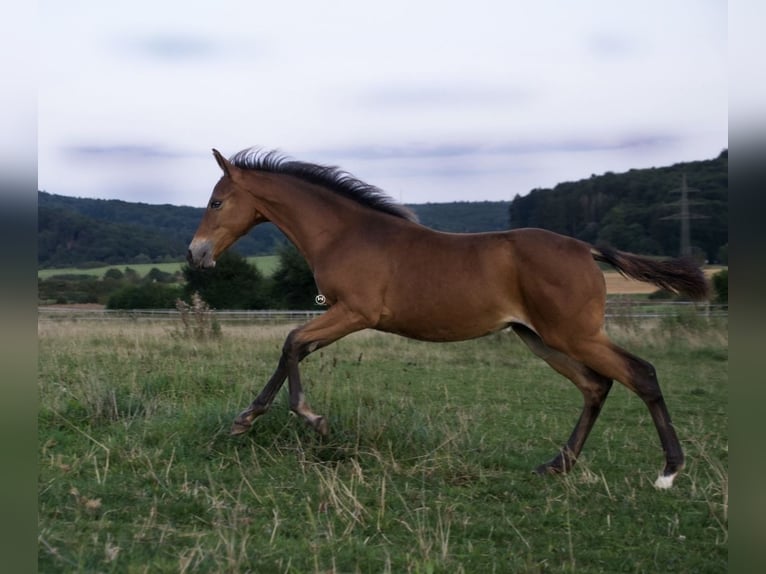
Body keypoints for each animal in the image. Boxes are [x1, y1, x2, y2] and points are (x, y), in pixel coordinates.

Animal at [184, 148, 708, 490]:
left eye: (216, 201)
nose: (195, 254)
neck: (346, 233)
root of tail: (587, 249)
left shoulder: (355, 312)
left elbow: (293, 340)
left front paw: (312, 419)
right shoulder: (342, 315)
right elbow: (294, 347)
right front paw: (246, 419)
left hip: (574, 334)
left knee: (640, 373)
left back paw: (668, 471)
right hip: (539, 338)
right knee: (596, 386)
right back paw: (557, 466)